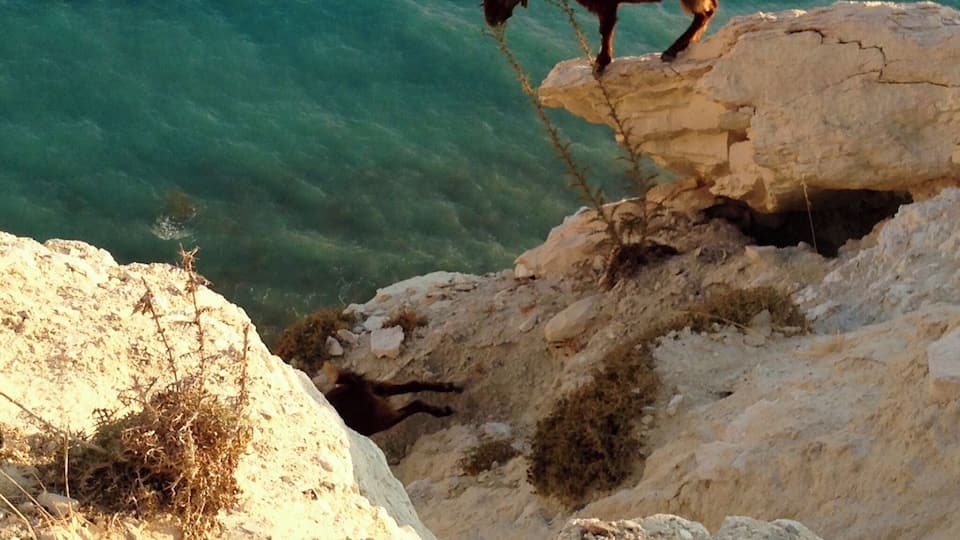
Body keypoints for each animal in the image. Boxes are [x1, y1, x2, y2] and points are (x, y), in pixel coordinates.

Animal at [320, 362, 464, 436]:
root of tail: (355, 387)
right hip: (379, 389)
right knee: (413, 384)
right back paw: (449, 387)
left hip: (379, 420)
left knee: (415, 404)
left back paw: (443, 411)